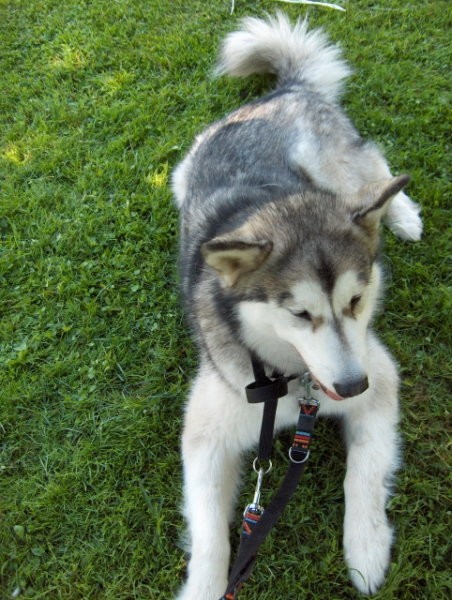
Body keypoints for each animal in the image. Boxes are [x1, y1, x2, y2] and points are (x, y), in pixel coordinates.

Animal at [172, 14, 420, 600]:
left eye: (356, 301)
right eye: (299, 314)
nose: (351, 386)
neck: (290, 378)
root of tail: (281, 93)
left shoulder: (381, 376)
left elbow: (365, 473)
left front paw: (366, 549)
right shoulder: (207, 432)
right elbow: (211, 534)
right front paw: (205, 585)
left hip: (336, 165)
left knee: (377, 168)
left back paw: (403, 215)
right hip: (179, 175)